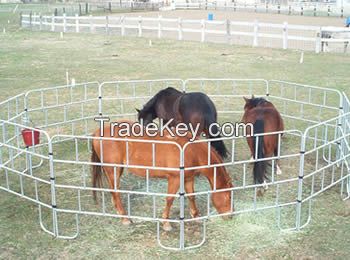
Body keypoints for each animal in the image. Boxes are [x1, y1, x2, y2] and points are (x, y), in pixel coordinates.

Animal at [90, 121, 232, 231]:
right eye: (228, 196)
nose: (230, 216)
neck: (191, 150)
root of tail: (98, 132)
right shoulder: (174, 179)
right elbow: (169, 199)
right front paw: (166, 223)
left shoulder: (188, 178)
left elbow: (192, 196)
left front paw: (196, 216)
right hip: (113, 170)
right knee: (115, 191)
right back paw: (125, 218)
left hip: (118, 169)